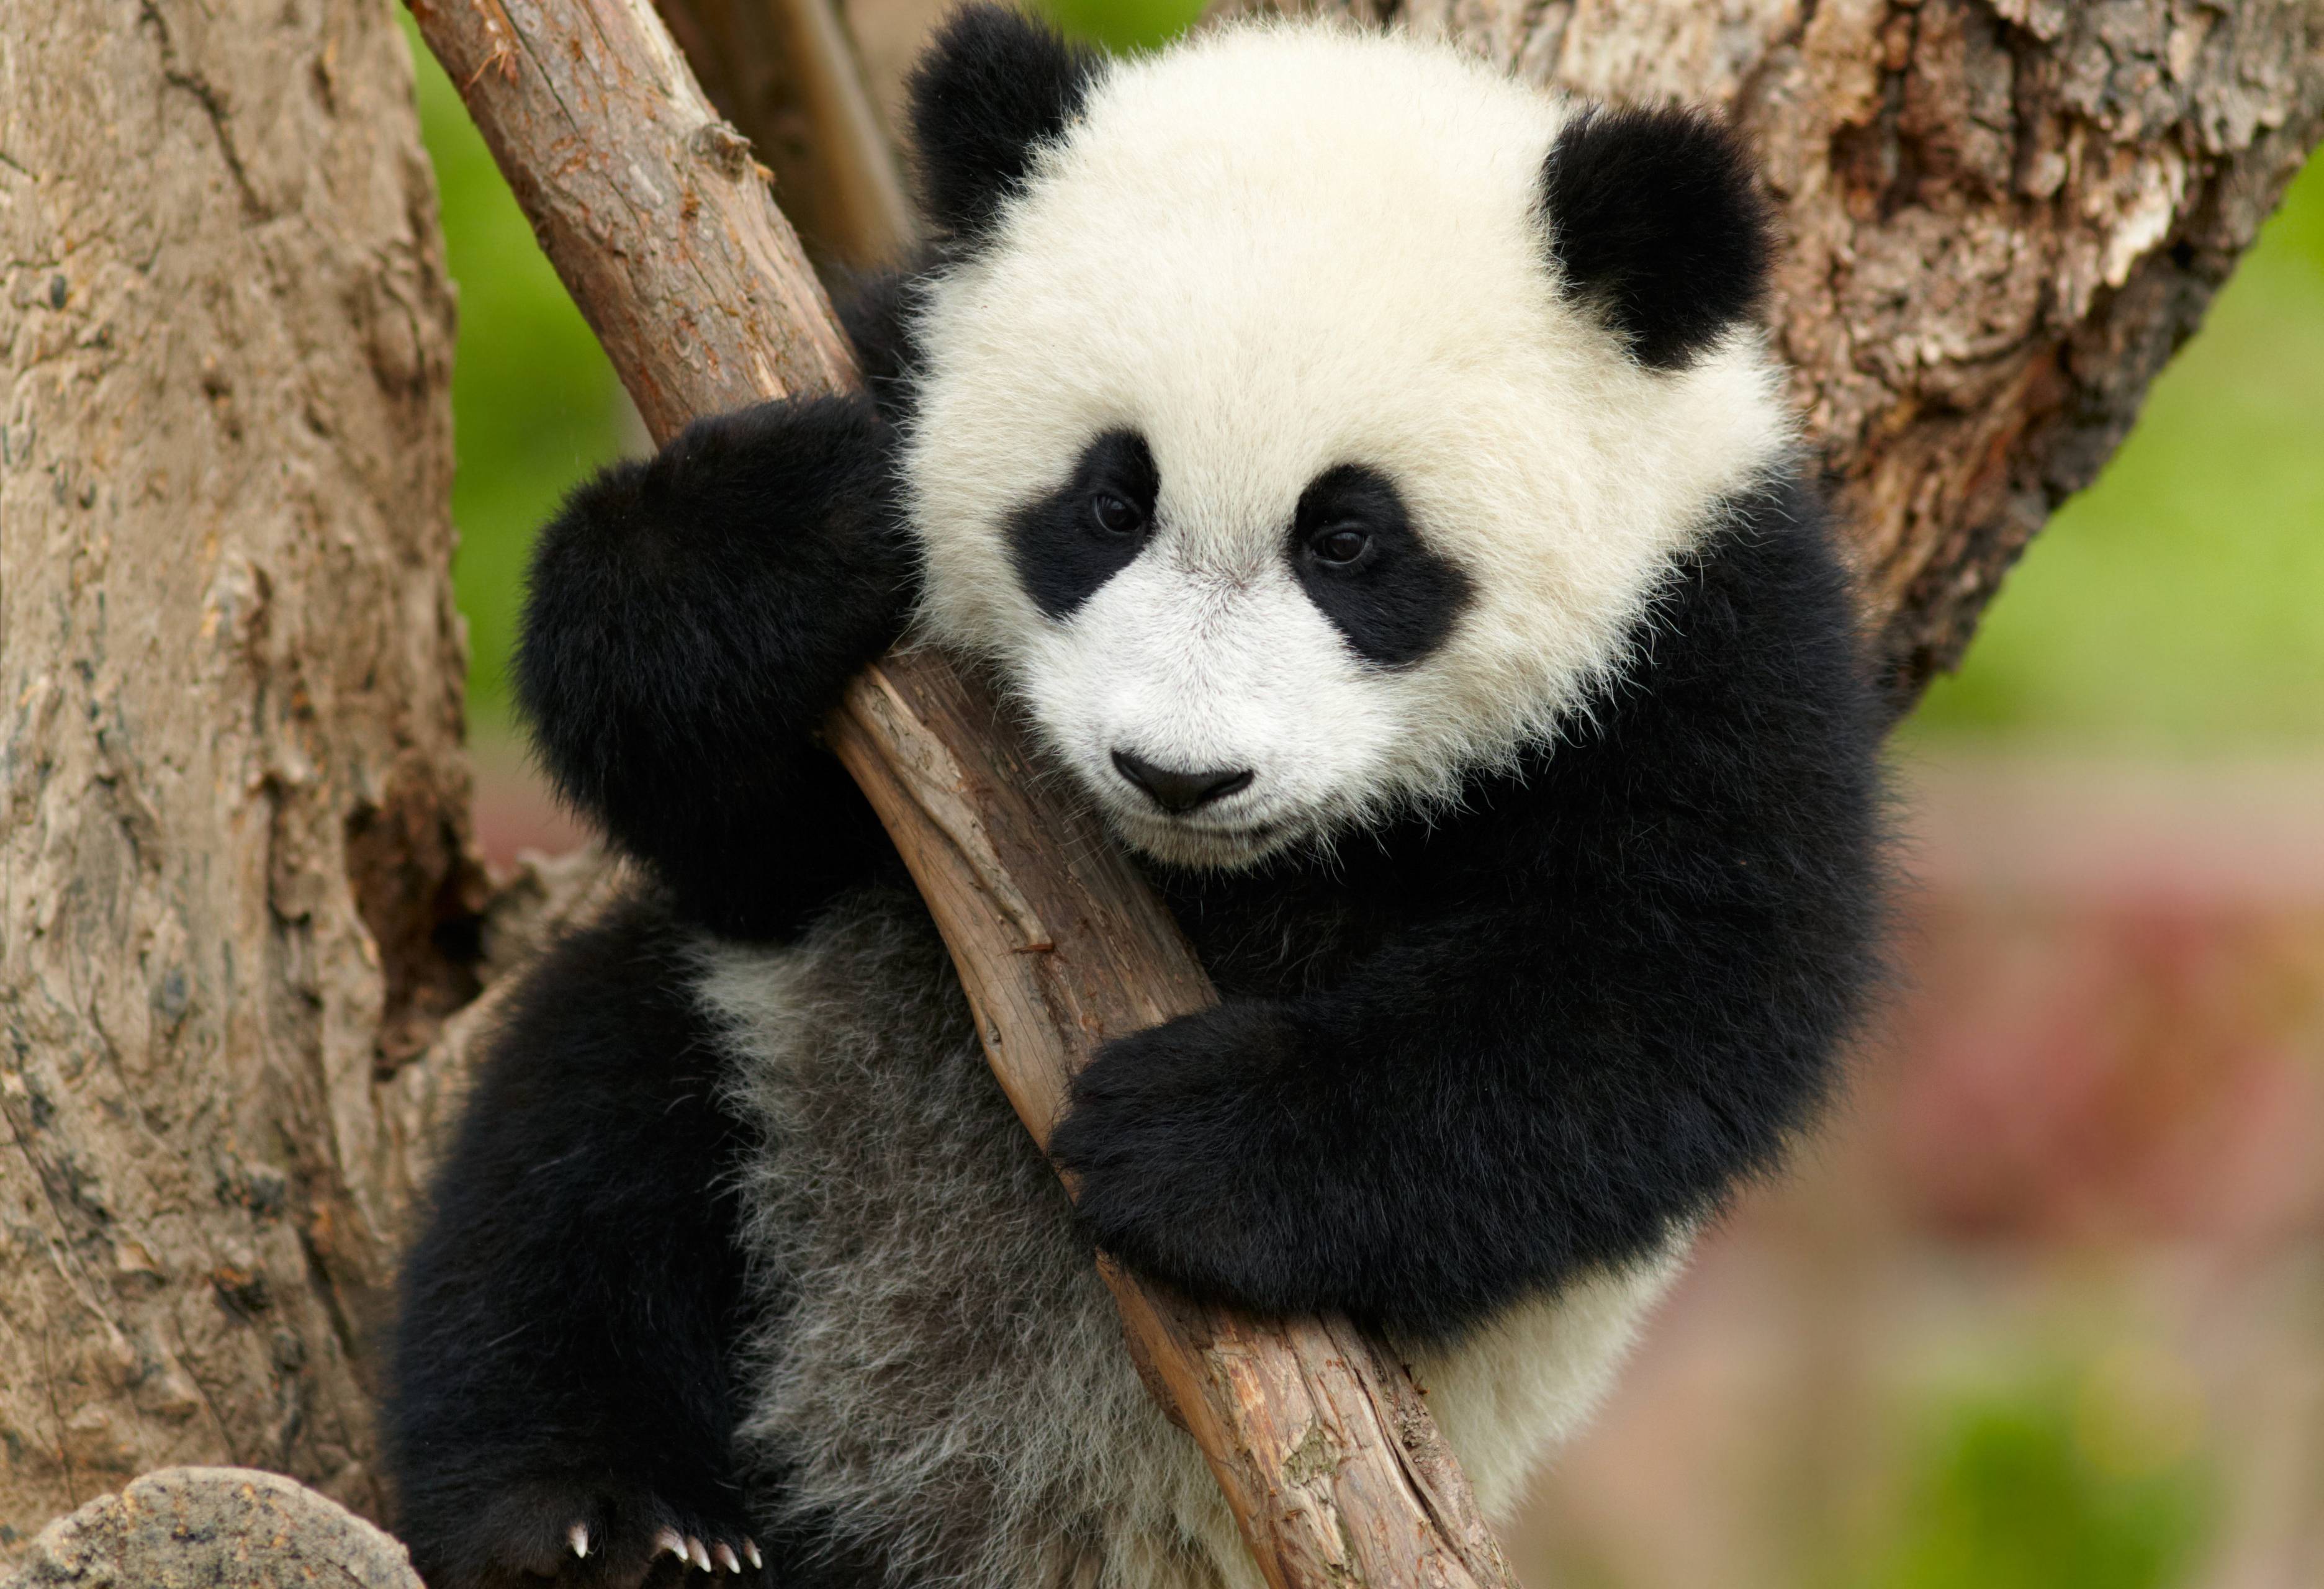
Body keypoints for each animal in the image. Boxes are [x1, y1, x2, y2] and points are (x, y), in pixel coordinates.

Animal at [385, 8, 1887, 1588]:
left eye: (1349, 540)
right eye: (1110, 503)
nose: (1181, 772)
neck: (1230, 876)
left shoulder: (1713, 632)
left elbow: (1666, 998)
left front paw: (1191, 1138)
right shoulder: (886, 394)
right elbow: (726, 816)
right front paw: (772, 533)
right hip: (776, 1065)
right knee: (574, 1169)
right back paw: (599, 1517)